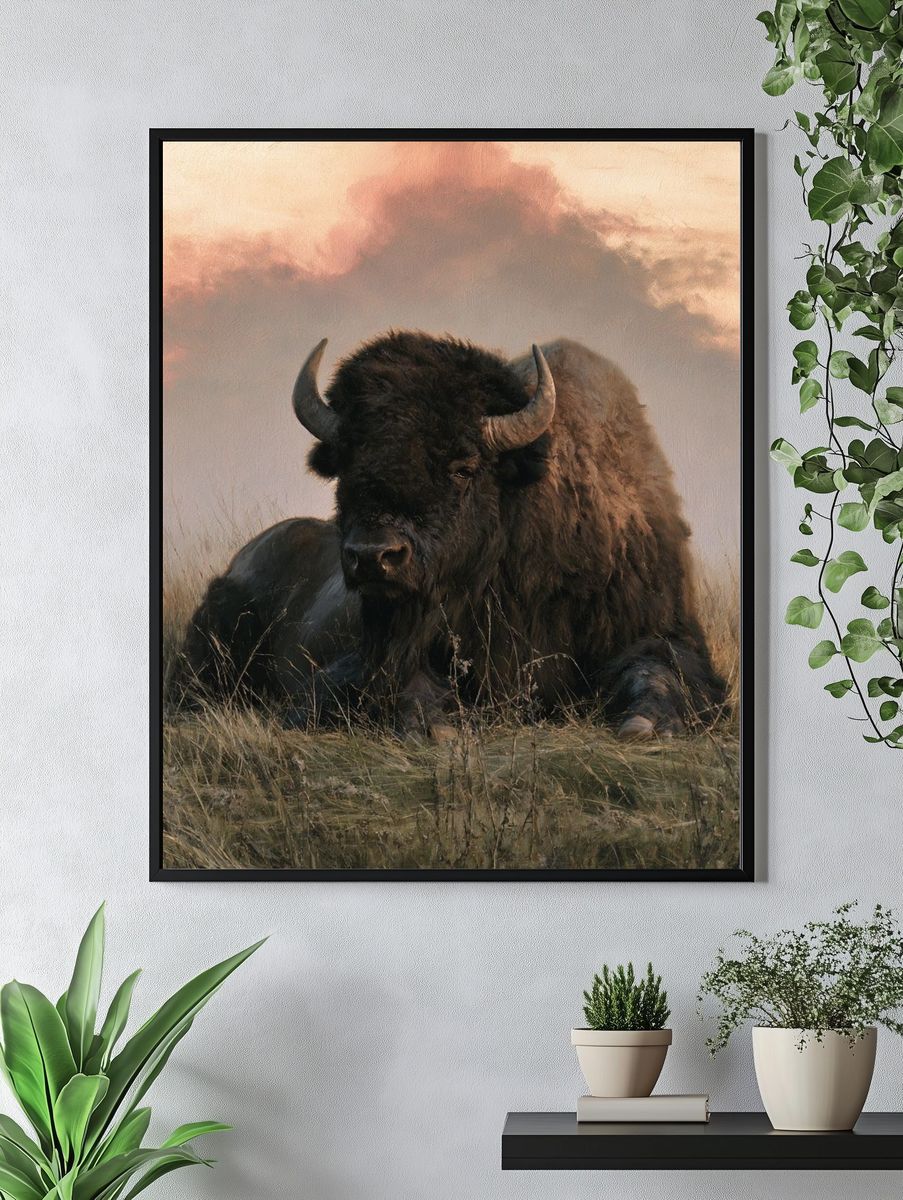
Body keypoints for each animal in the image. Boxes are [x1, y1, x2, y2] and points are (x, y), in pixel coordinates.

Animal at [182, 332, 727, 737]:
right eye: (346, 467)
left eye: (464, 466)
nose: (373, 556)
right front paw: (432, 726)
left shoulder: (660, 629)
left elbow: (660, 671)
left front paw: (647, 726)